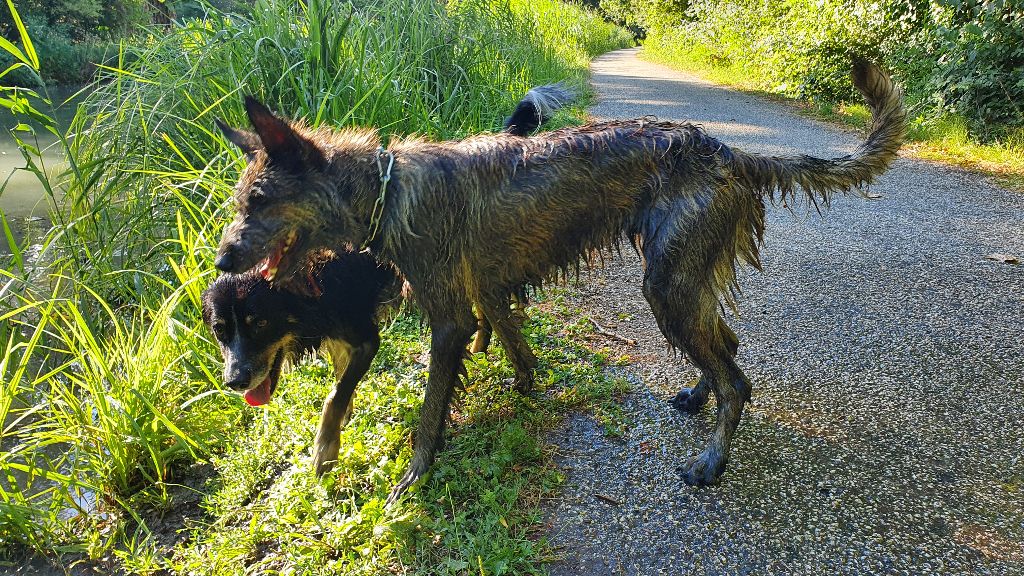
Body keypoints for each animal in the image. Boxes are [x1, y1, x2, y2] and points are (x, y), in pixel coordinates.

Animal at [211, 61, 909, 502]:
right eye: (243, 200)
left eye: (261, 201)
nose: (220, 262)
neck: (389, 191)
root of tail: (731, 151)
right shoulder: (486, 288)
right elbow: (511, 334)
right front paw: (525, 381)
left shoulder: (450, 317)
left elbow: (433, 409)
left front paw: (415, 478)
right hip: (685, 278)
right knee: (726, 349)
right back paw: (697, 394)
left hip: (668, 283)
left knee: (738, 376)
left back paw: (712, 459)